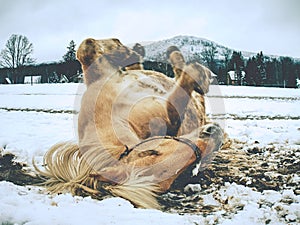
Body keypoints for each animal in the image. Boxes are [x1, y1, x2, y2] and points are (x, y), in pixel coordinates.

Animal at [35, 37, 224, 208]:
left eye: (151, 151)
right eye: (187, 172)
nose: (214, 133)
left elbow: (86, 49)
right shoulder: (167, 117)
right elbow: (175, 105)